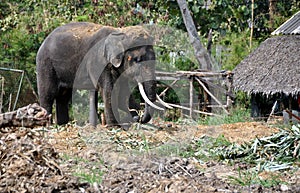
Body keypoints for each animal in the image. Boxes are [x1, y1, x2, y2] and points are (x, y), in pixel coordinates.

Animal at [36, 21, 166, 126]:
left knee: (63, 97)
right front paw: (114, 126)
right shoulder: (99, 62)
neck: (120, 33)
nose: (139, 117)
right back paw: (47, 125)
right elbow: (109, 91)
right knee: (48, 94)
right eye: (137, 60)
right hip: (46, 65)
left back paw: (63, 124)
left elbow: (122, 94)